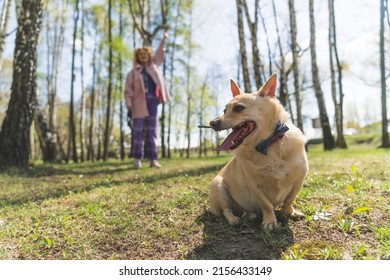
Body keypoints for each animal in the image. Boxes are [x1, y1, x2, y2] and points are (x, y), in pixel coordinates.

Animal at [209, 72, 310, 230]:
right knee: (227, 210)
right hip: (218, 186)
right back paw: (234, 219)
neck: (267, 144)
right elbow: (266, 204)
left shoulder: (299, 180)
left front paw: (289, 212)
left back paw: (250, 214)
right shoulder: (255, 186)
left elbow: (289, 199)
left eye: (238, 108)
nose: (212, 123)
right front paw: (270, 221)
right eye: (224, 111)